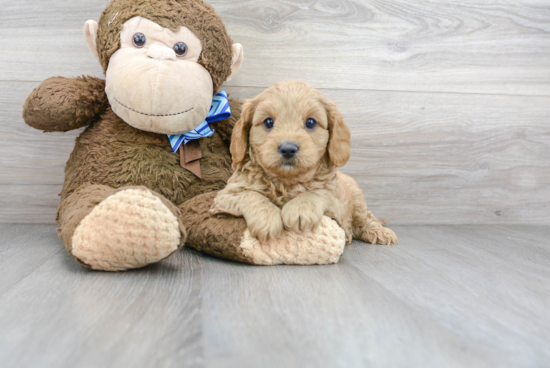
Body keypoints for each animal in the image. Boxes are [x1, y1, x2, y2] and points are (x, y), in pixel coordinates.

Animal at [213, 82, 398, 246]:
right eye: (268, 122)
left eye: (310, 122)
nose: (288, 149)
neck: (285, 182)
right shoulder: (224, 196)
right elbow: (251, 195)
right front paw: (266, 219)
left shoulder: (336, 203)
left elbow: (319, 192)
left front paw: (300, 210)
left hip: (358, 201)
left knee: (366, 218)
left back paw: (380, 232)